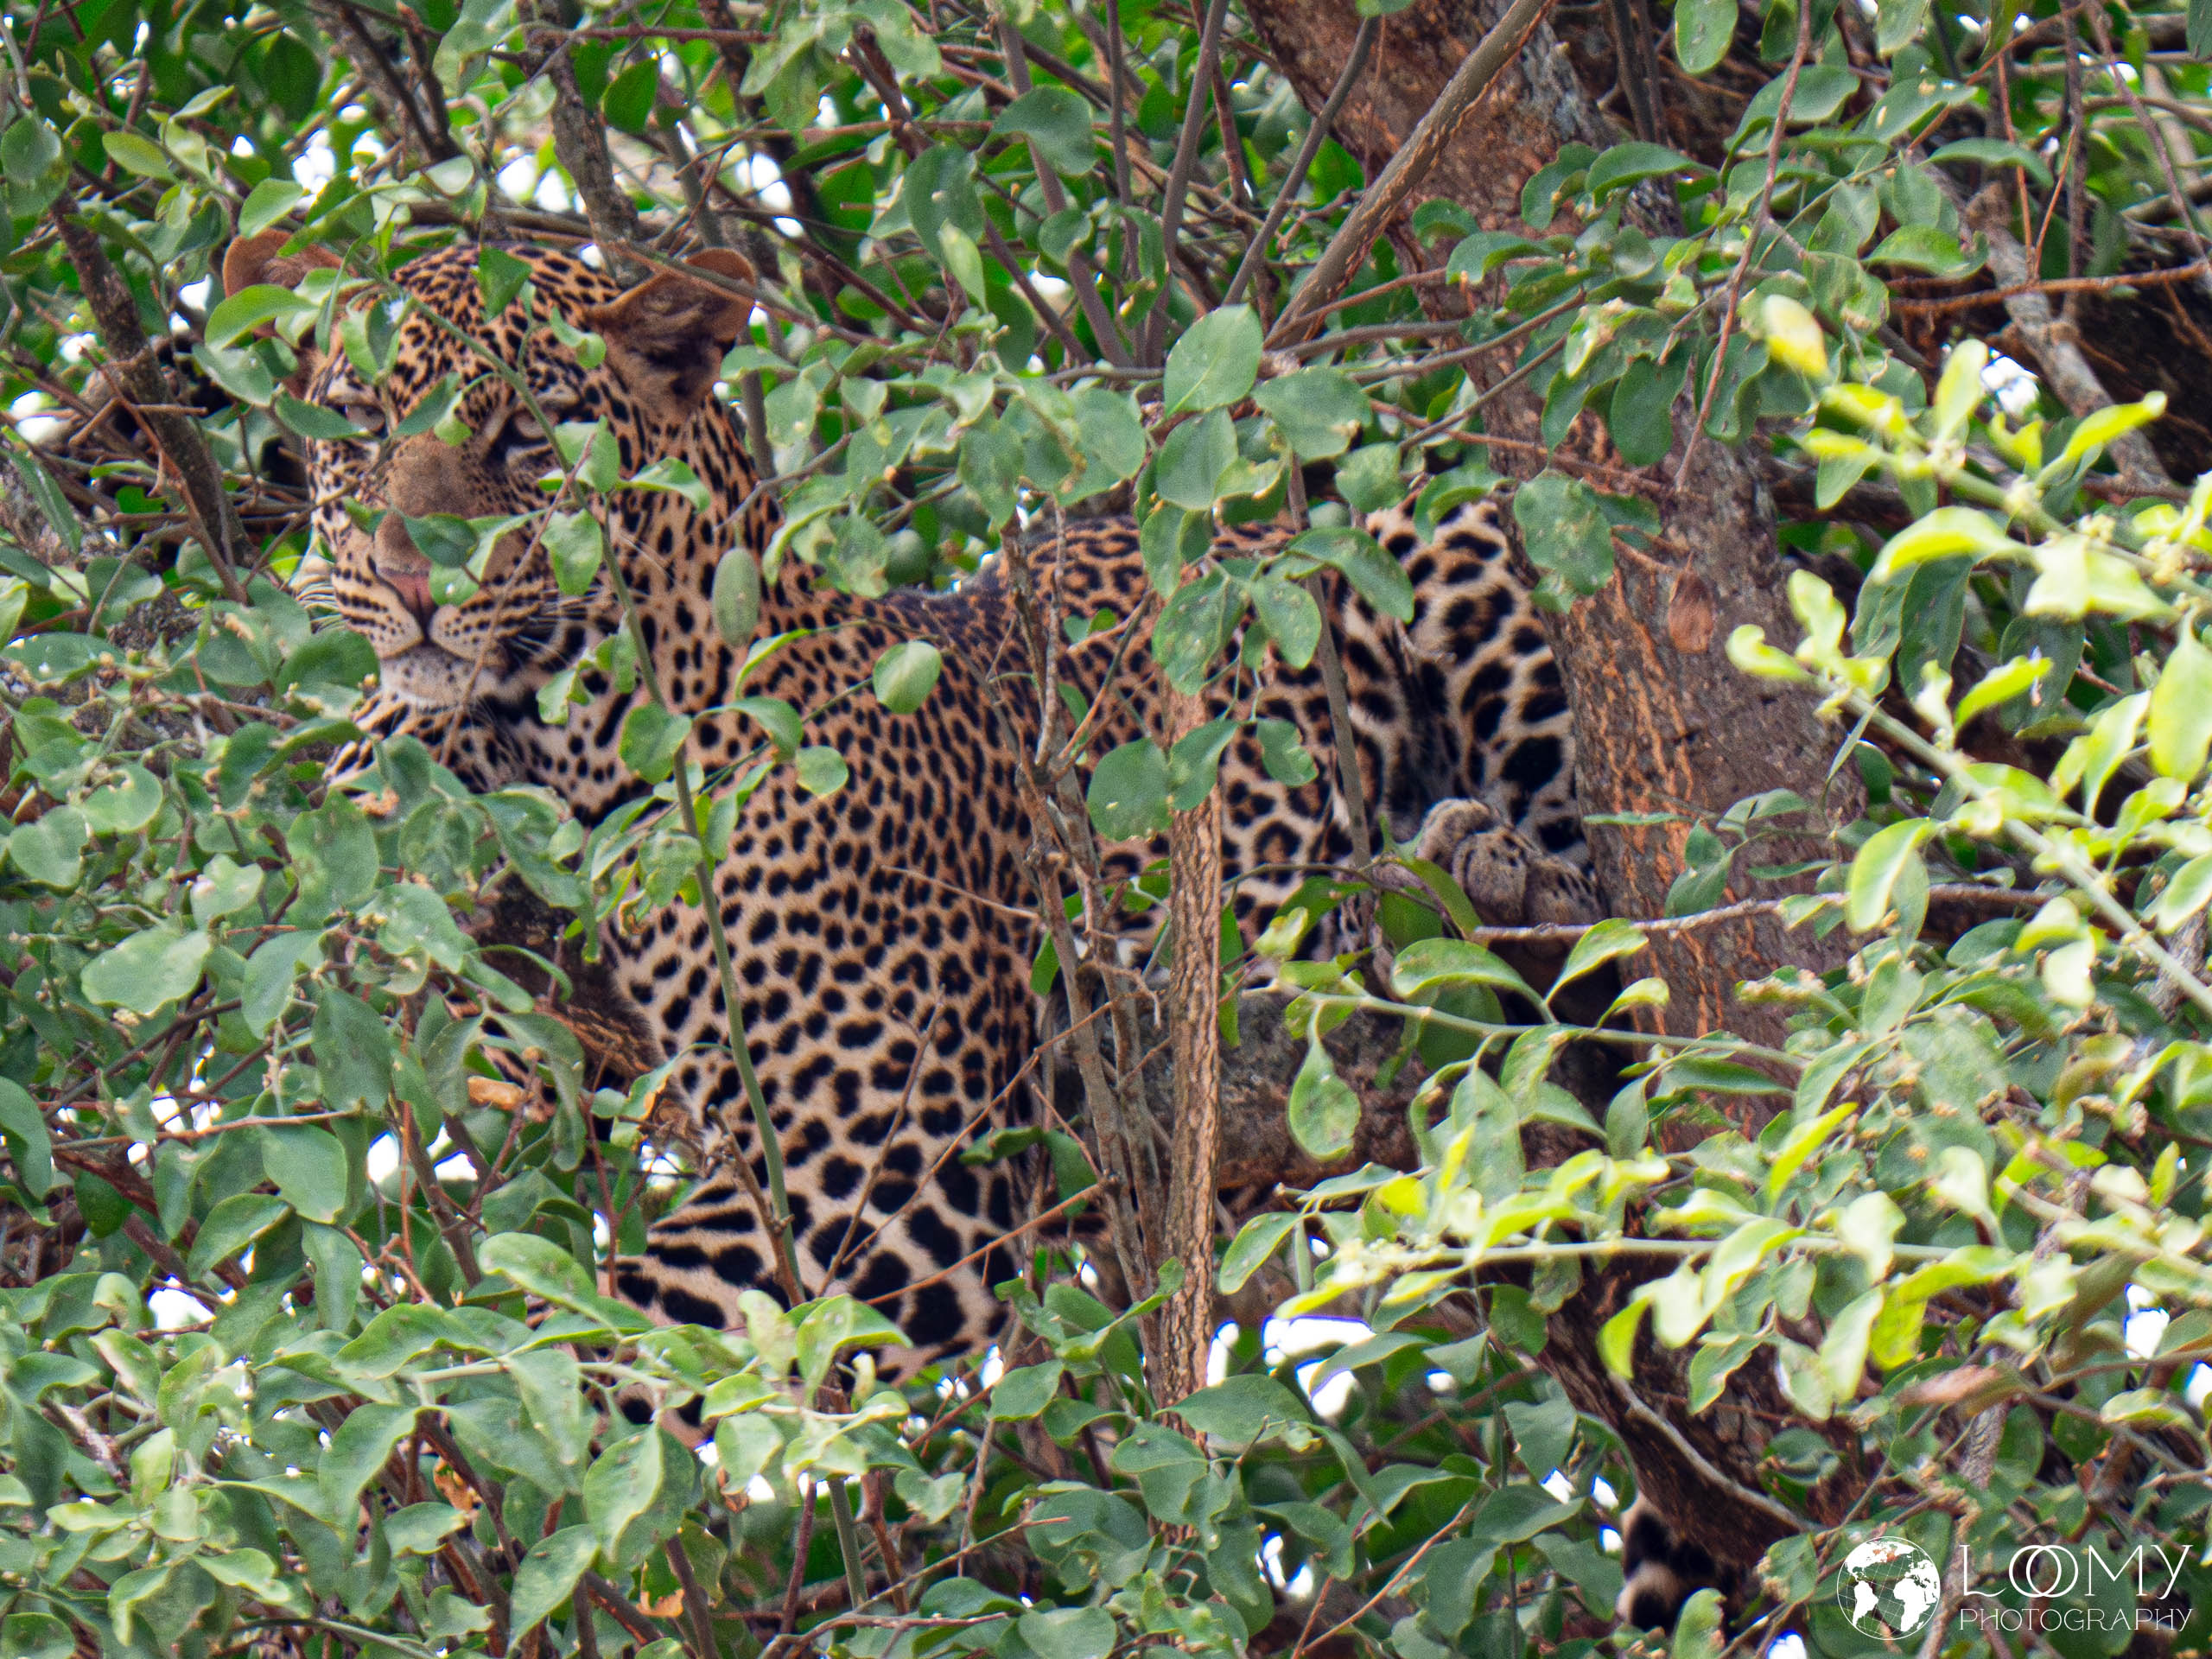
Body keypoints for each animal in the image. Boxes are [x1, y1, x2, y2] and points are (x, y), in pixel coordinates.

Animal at [228, 231, 1601, 1382]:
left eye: (528, 436)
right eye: (357, 423)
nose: (408, 577)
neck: (594, 737)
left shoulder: (879, 1160)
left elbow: (619, 1346)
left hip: (1441, 529)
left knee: (1595, 905)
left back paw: (1456, 870)